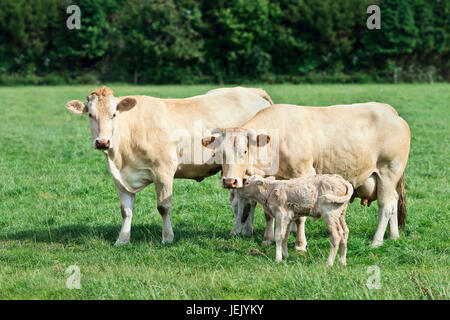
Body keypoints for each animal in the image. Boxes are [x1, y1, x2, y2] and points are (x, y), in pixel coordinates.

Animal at [65, 85, 272, 245]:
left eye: (113, 114)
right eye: (90, 115)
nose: (102, 142)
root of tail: (251, 91)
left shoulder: (163, 171)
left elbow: (163, 207)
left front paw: (167, 238)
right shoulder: (120, 178)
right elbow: (126, 210)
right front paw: (122, 240)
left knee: (247, 201)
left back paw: (242, 230)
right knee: (241, 200)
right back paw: (243, 230)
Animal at [203, 102, 412, 248]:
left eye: (244, 151)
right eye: (220, 153)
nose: (229, 181)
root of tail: (389, 111)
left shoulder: (304, 175)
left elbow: (300, 217)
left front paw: (300, 243)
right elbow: (268, 214)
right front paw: (268, 240)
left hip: (388, 172)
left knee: (385, 206)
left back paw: (376, 241)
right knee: (394, 201)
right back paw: (393, 236)